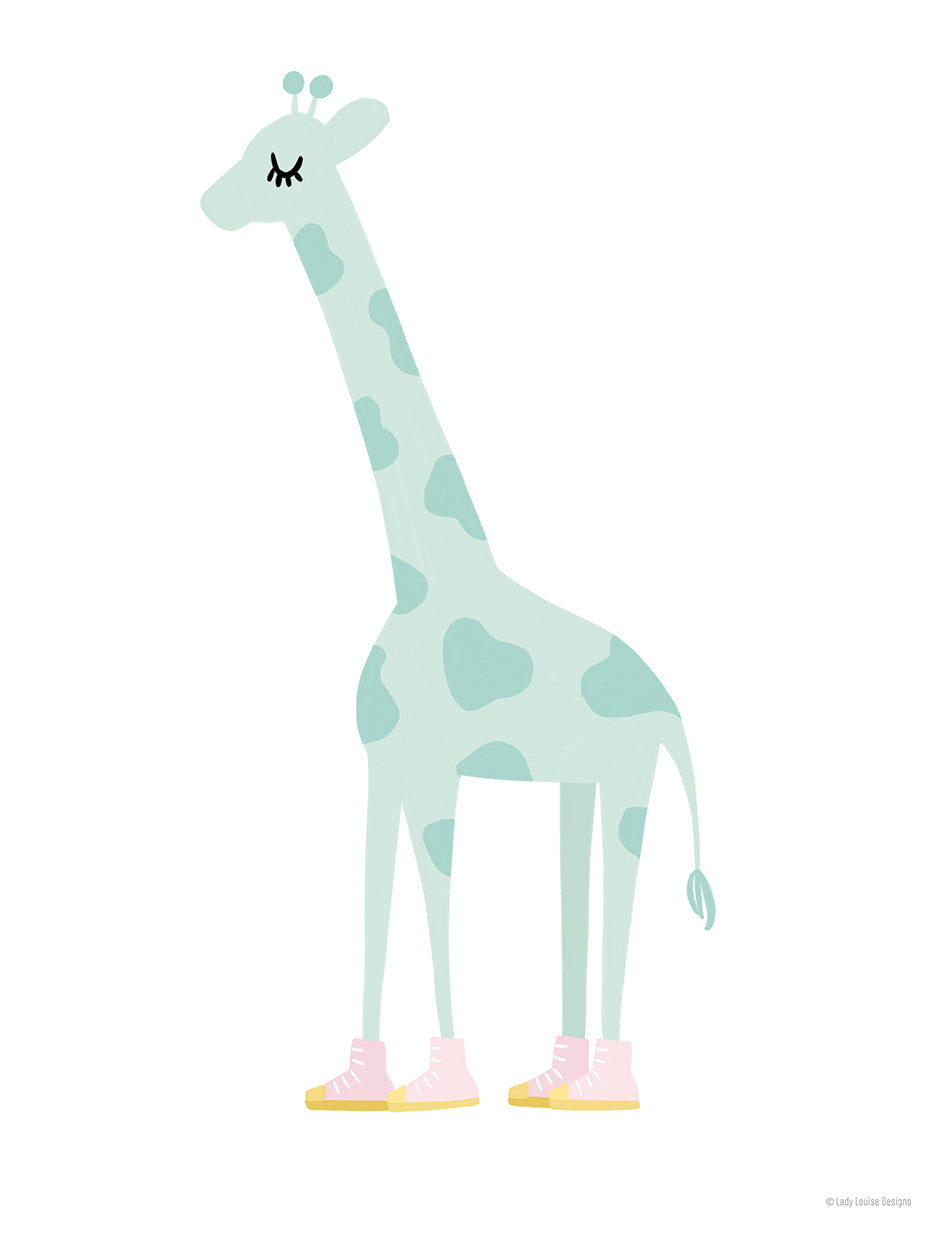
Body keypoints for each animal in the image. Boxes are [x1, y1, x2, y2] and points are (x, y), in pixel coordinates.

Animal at [201, 72, 715, 1113]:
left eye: (283, 167)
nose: (209, 203)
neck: (421, 571)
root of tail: (670, 704)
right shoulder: (381, 761)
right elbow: (375, 899)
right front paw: (358, 1082)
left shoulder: (437, 767)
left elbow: (436, 901)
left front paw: (441, 1083)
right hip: (576, 780)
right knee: (573, 892)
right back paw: (553, 1079)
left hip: (629, 774)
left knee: (617, 896)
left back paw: (605, 1088)